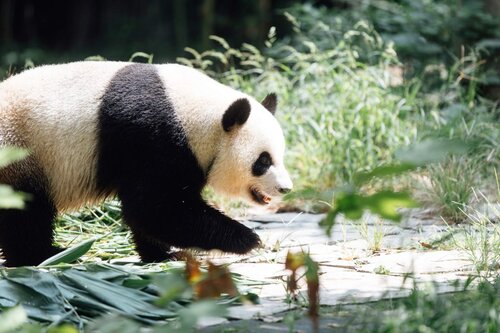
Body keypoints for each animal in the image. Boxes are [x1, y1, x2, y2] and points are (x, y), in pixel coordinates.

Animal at [0, 61, 292, 266]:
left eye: (280, 155)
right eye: (263, 161)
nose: (285, 189)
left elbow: (155, 211)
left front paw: (163, 254)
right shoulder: (153, 136)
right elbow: (155, 208)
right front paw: (249, 239)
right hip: (20, 152)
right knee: (25, 212)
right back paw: (45, 255)